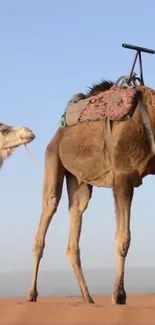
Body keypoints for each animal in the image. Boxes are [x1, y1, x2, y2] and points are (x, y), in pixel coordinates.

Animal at [27, 78, 155, 304]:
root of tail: (59, 132)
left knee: (76, 215)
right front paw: (119, 295)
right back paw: (32, 294)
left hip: (79, 181)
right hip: (52, 157)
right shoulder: (123, 177)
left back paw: (88, 298)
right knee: (49, 206)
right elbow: (123, 238)